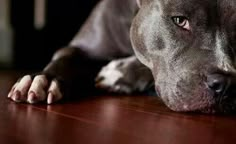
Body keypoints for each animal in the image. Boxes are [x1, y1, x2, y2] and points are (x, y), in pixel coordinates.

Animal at [6, 0, 236, 113]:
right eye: (180, 20)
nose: (225, 83)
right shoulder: (82, 47)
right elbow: (65, 56)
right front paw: (42, 80)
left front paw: (119, 73)